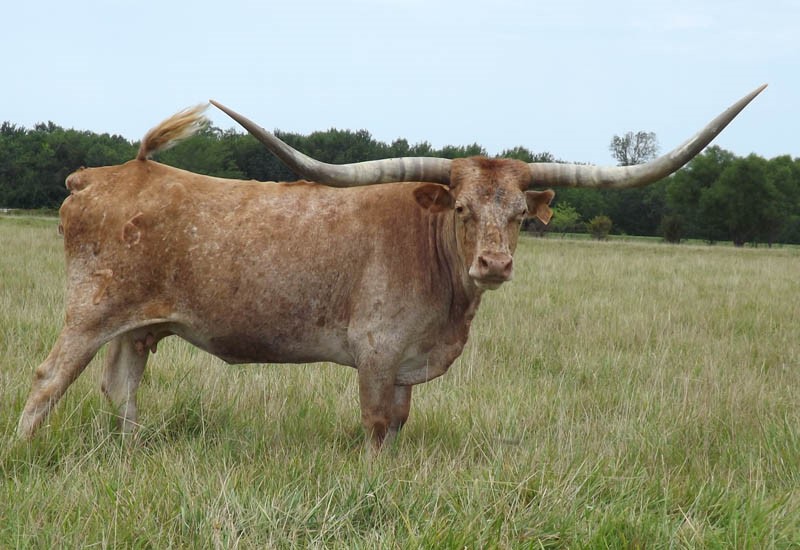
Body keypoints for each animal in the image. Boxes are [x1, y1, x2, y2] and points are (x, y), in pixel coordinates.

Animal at [17, 85, 766, 452]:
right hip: (89, 310)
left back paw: (133, 454)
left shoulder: (407, 363)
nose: (495, 263)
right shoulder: (377, 353)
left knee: (120, 386)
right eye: (462, 207)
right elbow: (378, 425)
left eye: (520, 214)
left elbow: (402, 423)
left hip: (139, 325)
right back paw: (22, 454)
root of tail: (106, 174)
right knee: (50, 377)